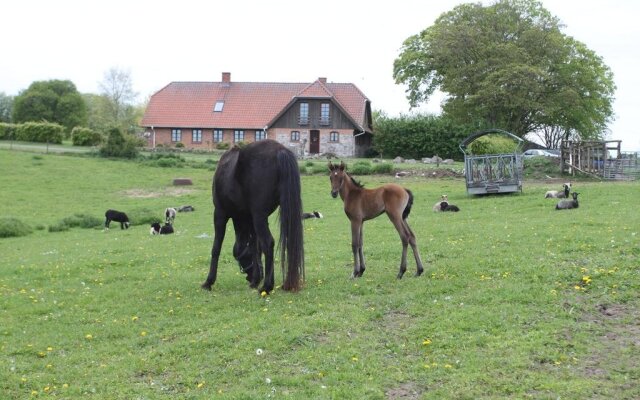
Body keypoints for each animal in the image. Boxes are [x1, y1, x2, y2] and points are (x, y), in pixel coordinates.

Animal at [204, 141, 306, 294]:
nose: (250, 276)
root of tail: (279, 150)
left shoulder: (220, 214)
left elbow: (216, 247)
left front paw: (209, 282)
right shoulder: (250, 218)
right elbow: (255, 247)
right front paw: (256, 280)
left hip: (258, 215)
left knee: (268, 243)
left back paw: (267, 286)